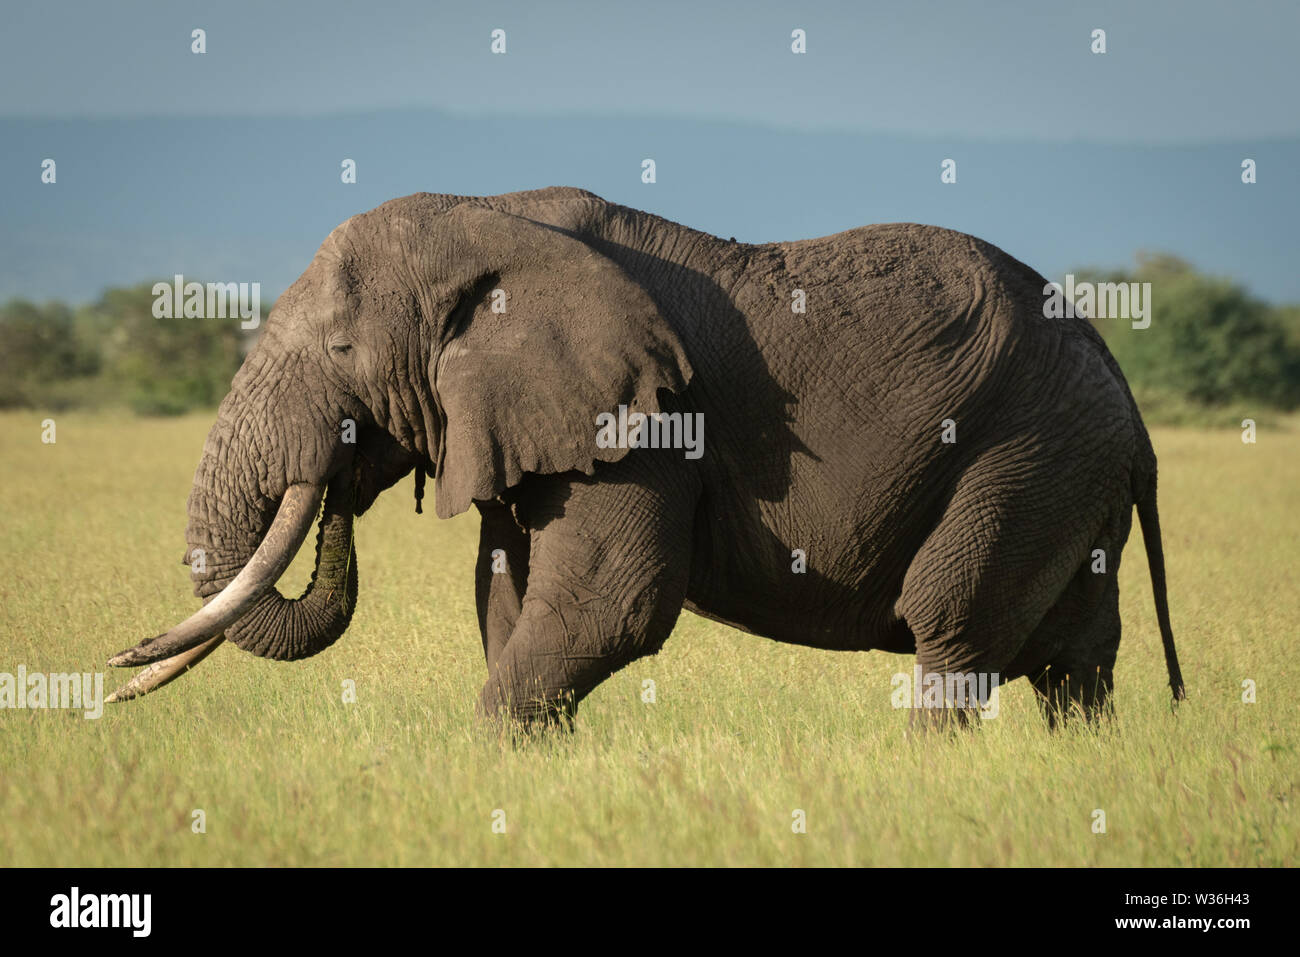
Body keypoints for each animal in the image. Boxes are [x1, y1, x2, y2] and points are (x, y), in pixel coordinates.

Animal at [108, 186, 1185, 729]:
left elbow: (609, 607)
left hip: (1027, 454)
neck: (489, 215)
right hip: (1070, 474)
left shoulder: (647, 422)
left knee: (953, 625)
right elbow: (506, 602)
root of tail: (1127, 399)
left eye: (340, 353)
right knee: (1074, 659)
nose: (116, 666)